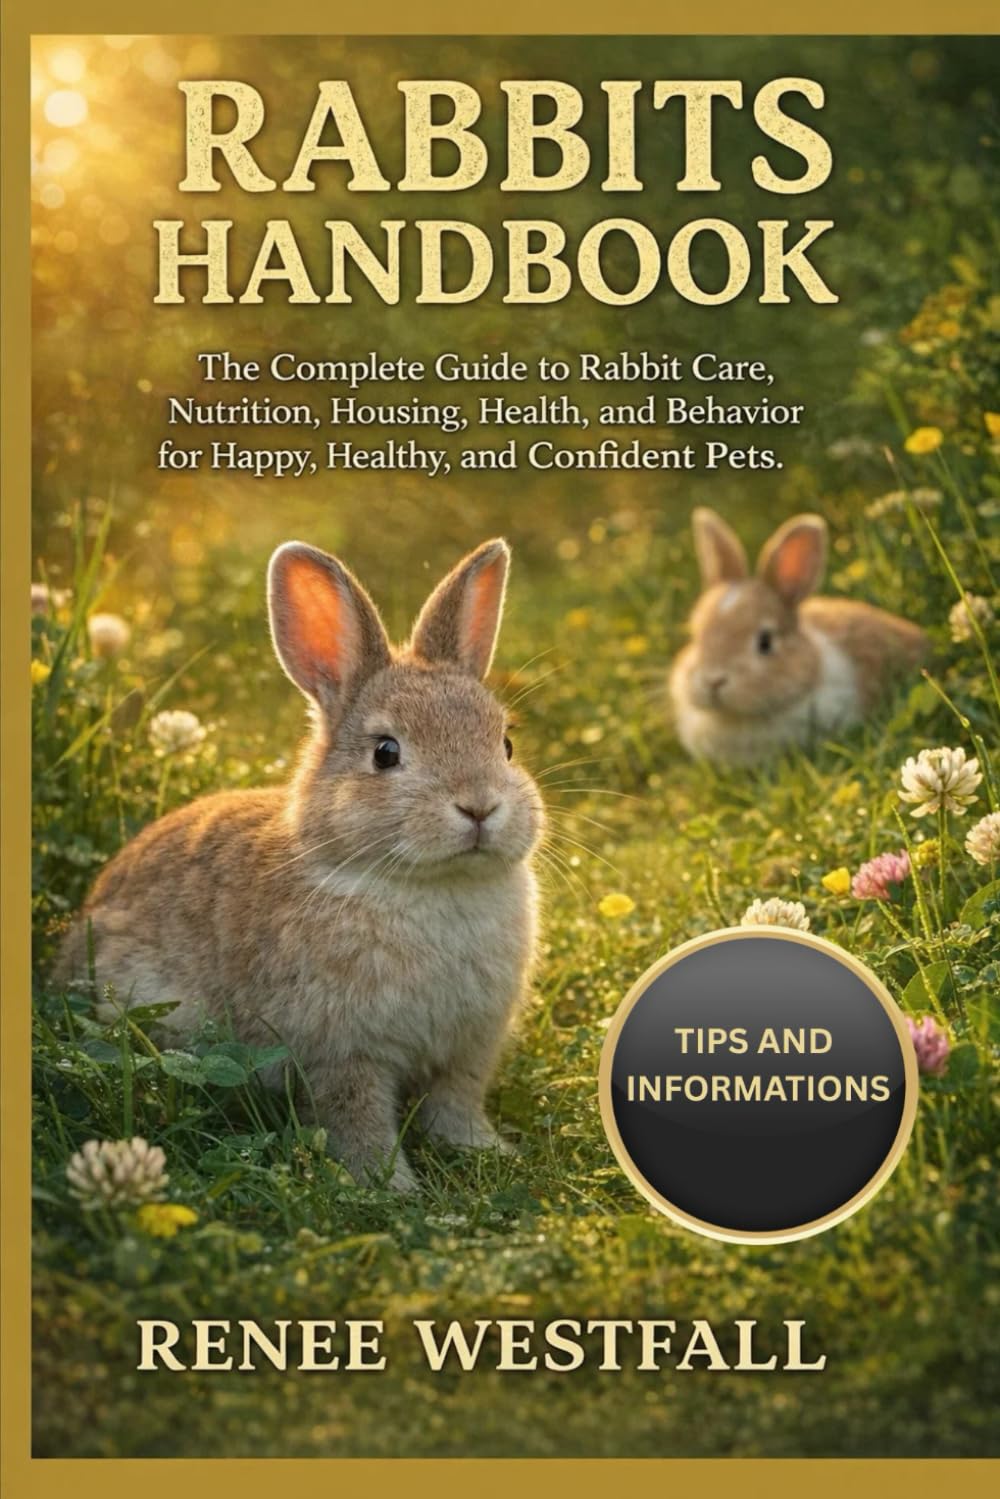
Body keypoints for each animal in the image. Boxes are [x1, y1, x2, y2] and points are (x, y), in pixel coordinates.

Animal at [57, 538, 544, 1191]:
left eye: (506, 745)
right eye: (385, 752)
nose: (480, 806)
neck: (429, 885)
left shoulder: (469, 1048)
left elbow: (455, 1103)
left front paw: (486, 1151)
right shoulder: (342, 1051)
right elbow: (356, 1115)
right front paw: (386, 1185)